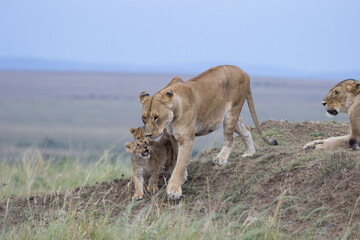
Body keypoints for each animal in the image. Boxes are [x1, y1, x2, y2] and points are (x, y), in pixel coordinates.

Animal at [139, 64, 278, 199]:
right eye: (144, 118)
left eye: (156, 117)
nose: (148, 135)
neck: (172, 116)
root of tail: (244, 72)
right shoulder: (174, 137)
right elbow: (179, 159)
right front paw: (183, 177)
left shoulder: (187, 138)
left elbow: (180, 164)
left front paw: (174, 190)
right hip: (234, 116)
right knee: (247, 130)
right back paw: (250, 153)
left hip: (231, 113)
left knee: (230, 140)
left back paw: (221, 159)